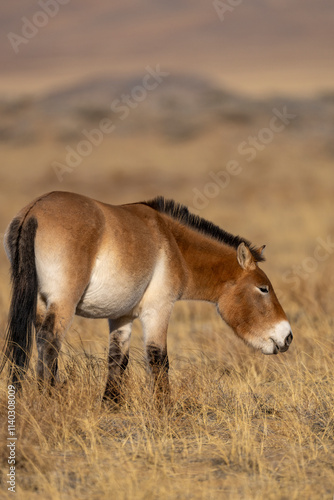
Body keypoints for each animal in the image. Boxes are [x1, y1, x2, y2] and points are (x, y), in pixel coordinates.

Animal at [0, 191, 292, 402]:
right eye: (263, 288)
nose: (287, 337)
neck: (172, 242)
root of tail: (34, 210)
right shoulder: (158, 310)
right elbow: (158, 358)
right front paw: (165, 408)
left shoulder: (121, 316)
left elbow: (118, 359)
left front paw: (111, 405)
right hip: (63, 304)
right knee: (50, 342)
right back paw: (49, 398)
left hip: (40, 304)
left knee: (32, 344)